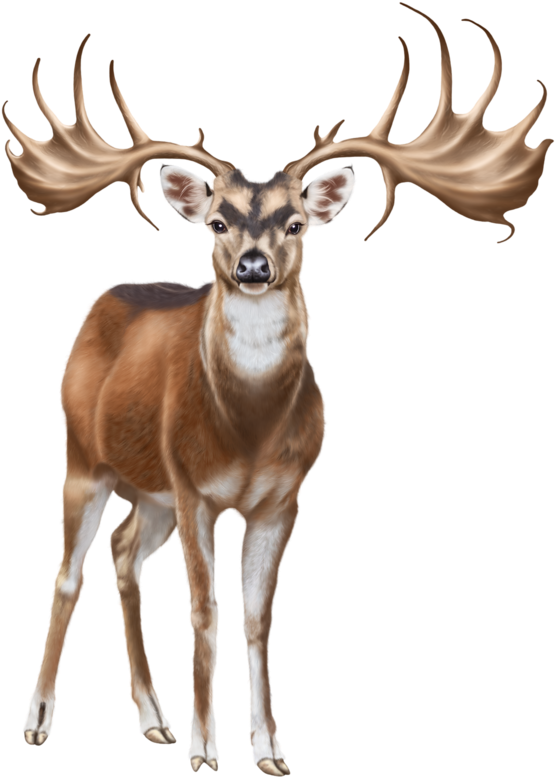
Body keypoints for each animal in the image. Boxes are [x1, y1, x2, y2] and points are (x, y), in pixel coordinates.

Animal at [4, 3, 552, 774]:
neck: (247, 432)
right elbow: (205, 612)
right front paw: (206, 750)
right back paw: (40, 719)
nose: (256, 266)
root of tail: (102, 302)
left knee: (121, 554)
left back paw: (152, 719)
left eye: (295, 223)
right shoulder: (196, 488)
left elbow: (257, 619)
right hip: (85, 455)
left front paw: (266, 749)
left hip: (152, 491)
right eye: (218, 221)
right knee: (68, 573)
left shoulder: (283, 496)